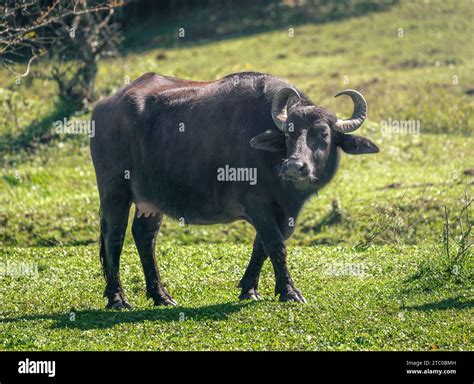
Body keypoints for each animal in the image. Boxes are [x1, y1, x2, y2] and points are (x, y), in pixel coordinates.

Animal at [90, 70, 378, 308]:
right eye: (289, 134)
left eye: (324, 135)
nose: (295, 166)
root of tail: (103, 106)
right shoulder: (257, 204)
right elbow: (275, 245)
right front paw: (289, 292)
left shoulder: (284, 212)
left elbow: (262, 246)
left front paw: (249, 289)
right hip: (114, 192)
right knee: (114, 238)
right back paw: (117, 299)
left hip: (151, 202)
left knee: (144, 237)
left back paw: (161, 295)